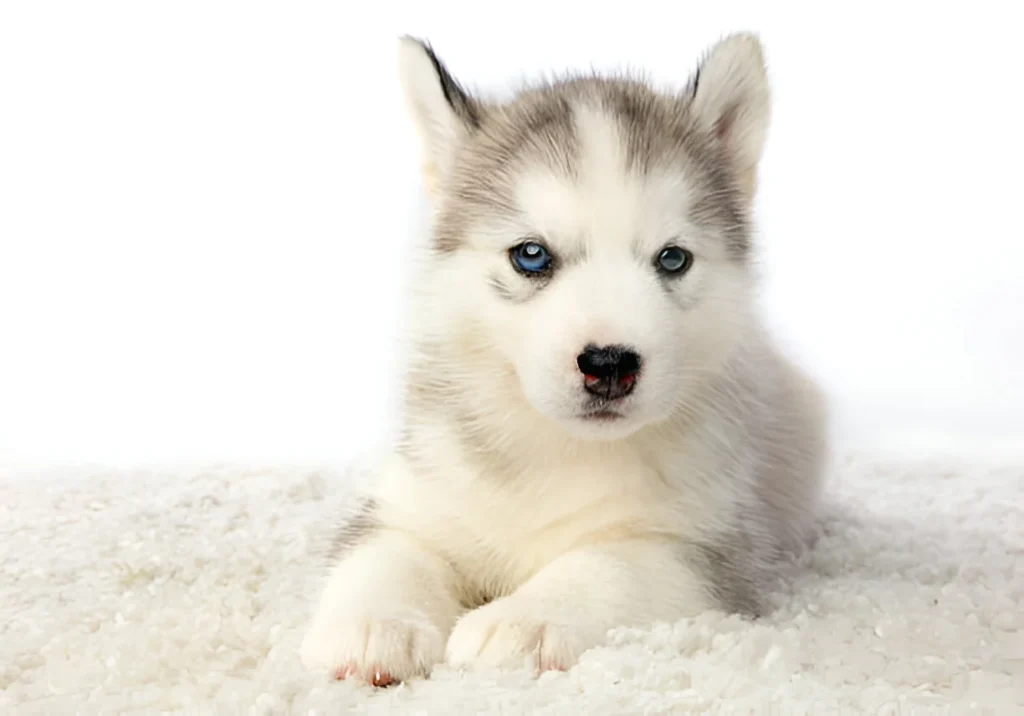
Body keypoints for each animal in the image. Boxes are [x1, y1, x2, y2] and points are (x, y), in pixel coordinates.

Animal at [299, 30, 827, 684]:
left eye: (672, 259)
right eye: (531, 255)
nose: (609, 364)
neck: (555, 447)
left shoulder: (703, 548)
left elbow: (603, 566)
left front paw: (522, 619)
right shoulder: (410, 501)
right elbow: (386, 557)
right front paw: (375, 624)